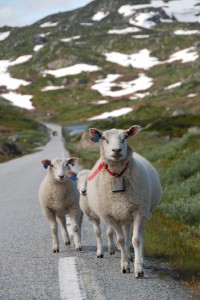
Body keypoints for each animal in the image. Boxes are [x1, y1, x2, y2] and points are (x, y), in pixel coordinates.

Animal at [86, 125, 162, 278]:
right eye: (104, 138)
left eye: (125, 137)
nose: (116, 150)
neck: (117, 174)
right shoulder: (111, 216)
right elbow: (120, 240)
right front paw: (125, 265)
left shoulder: (139, 211)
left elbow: (136, 239)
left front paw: (138, 269)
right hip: (124, 214)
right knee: (125, 235)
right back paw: (127, 255)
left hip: (143, 211)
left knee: (140, 236)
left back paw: (140, 259)